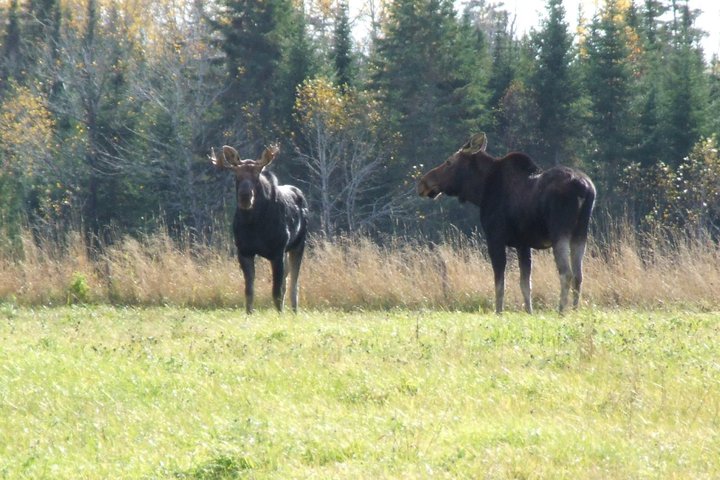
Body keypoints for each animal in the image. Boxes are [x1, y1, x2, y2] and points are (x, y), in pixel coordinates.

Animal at [210, 142, 308, 316]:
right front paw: (249, 314)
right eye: (236, 176)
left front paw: (280, 315)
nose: (245, 197)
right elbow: (249, 290)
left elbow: (276, 291)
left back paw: (294, 312)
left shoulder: (277, 251)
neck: (254, 225)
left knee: (293, 283)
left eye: (256, 177)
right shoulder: (244, 251)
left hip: (298, 244)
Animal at [416, 133, 596, 316]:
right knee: (579, 274)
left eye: (449, 162)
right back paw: (575, 310)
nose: (422, 183)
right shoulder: (523, 244)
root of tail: (584, 188)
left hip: (559, 232)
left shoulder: (495, 237)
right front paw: (529, 312)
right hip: (580, 233)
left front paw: (498, 312)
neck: (480, 192)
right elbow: (525, 283)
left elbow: (499, 283)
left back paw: (561, 311)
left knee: (566, 273)